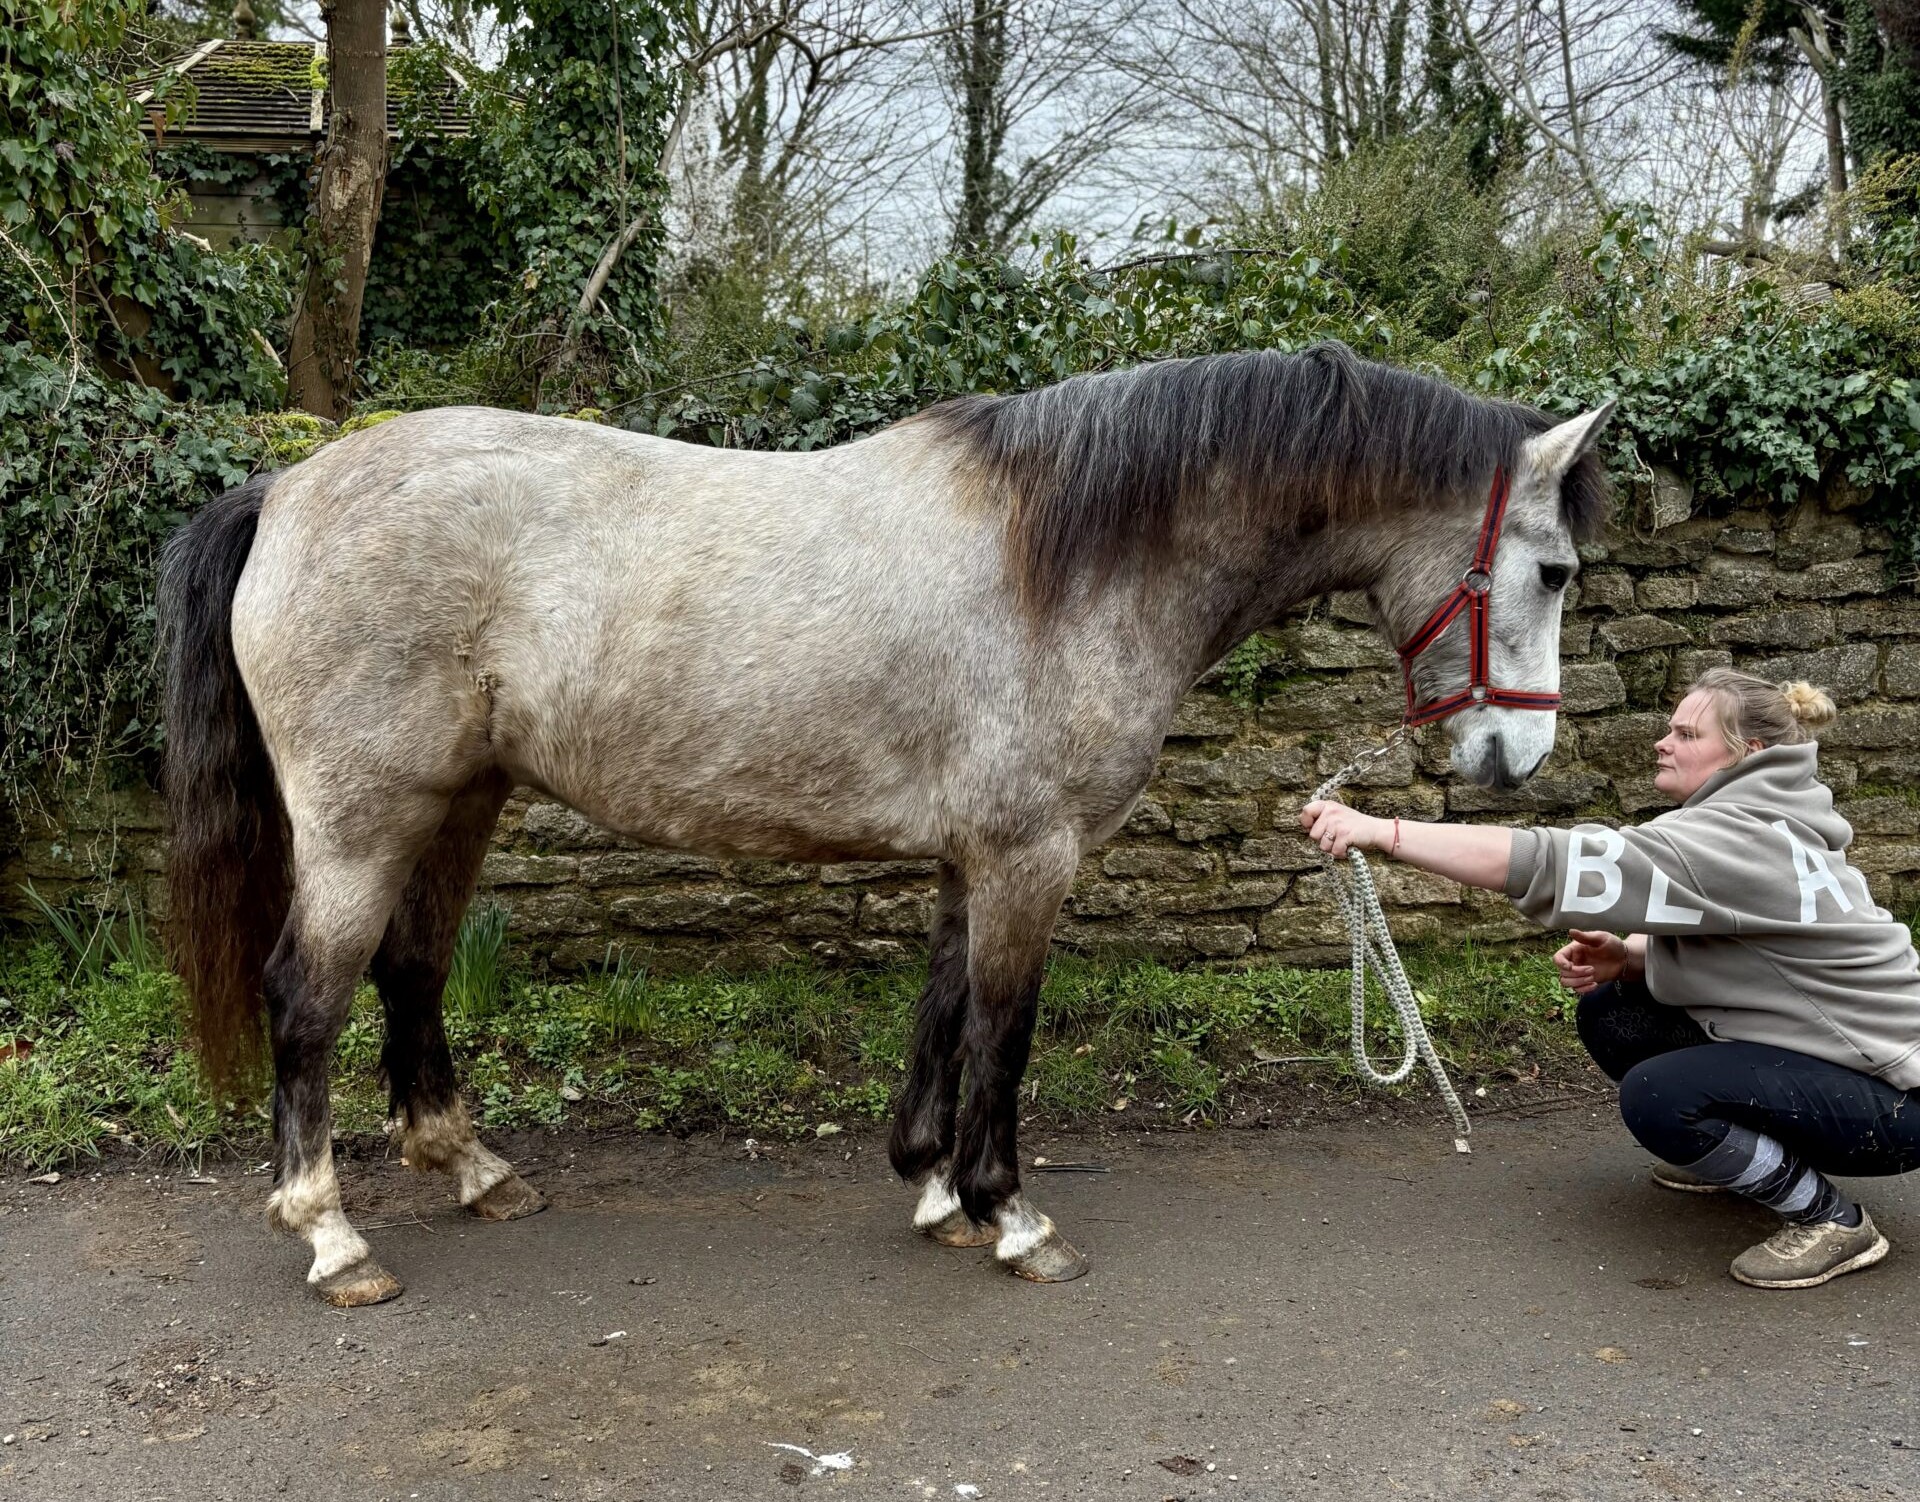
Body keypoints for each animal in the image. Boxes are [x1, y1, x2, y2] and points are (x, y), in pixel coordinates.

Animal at [159, 341, 1612, 1306]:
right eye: (1551, 570)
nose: (1515, 759)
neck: (1069, 558)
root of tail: (284, 491)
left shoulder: (980, 853)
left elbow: (945, 1006)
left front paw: (931, 1182)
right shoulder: (1032, 856)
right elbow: (1005, 1029)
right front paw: (1010, 1212)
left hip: (461, 798)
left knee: (410, 968)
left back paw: (472, 1167)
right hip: (362, 819)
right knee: (307, 994)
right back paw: (332, 1235)